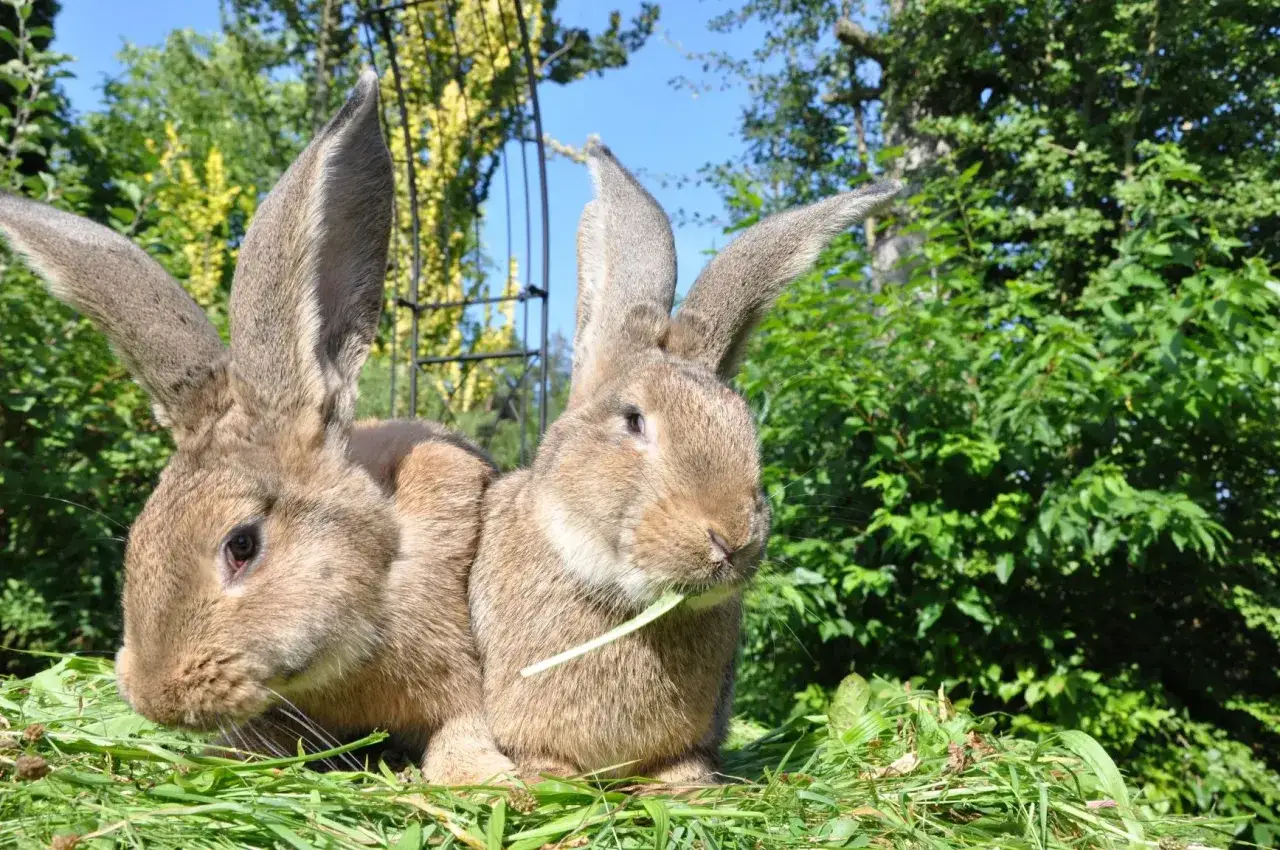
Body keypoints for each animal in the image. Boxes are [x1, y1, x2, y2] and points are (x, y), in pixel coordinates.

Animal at [0, 70, 514, 785]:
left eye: (241, 544)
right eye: (140, 536)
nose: (158, 697)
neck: (382, 569)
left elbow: (460, 730)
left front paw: (487, 780)